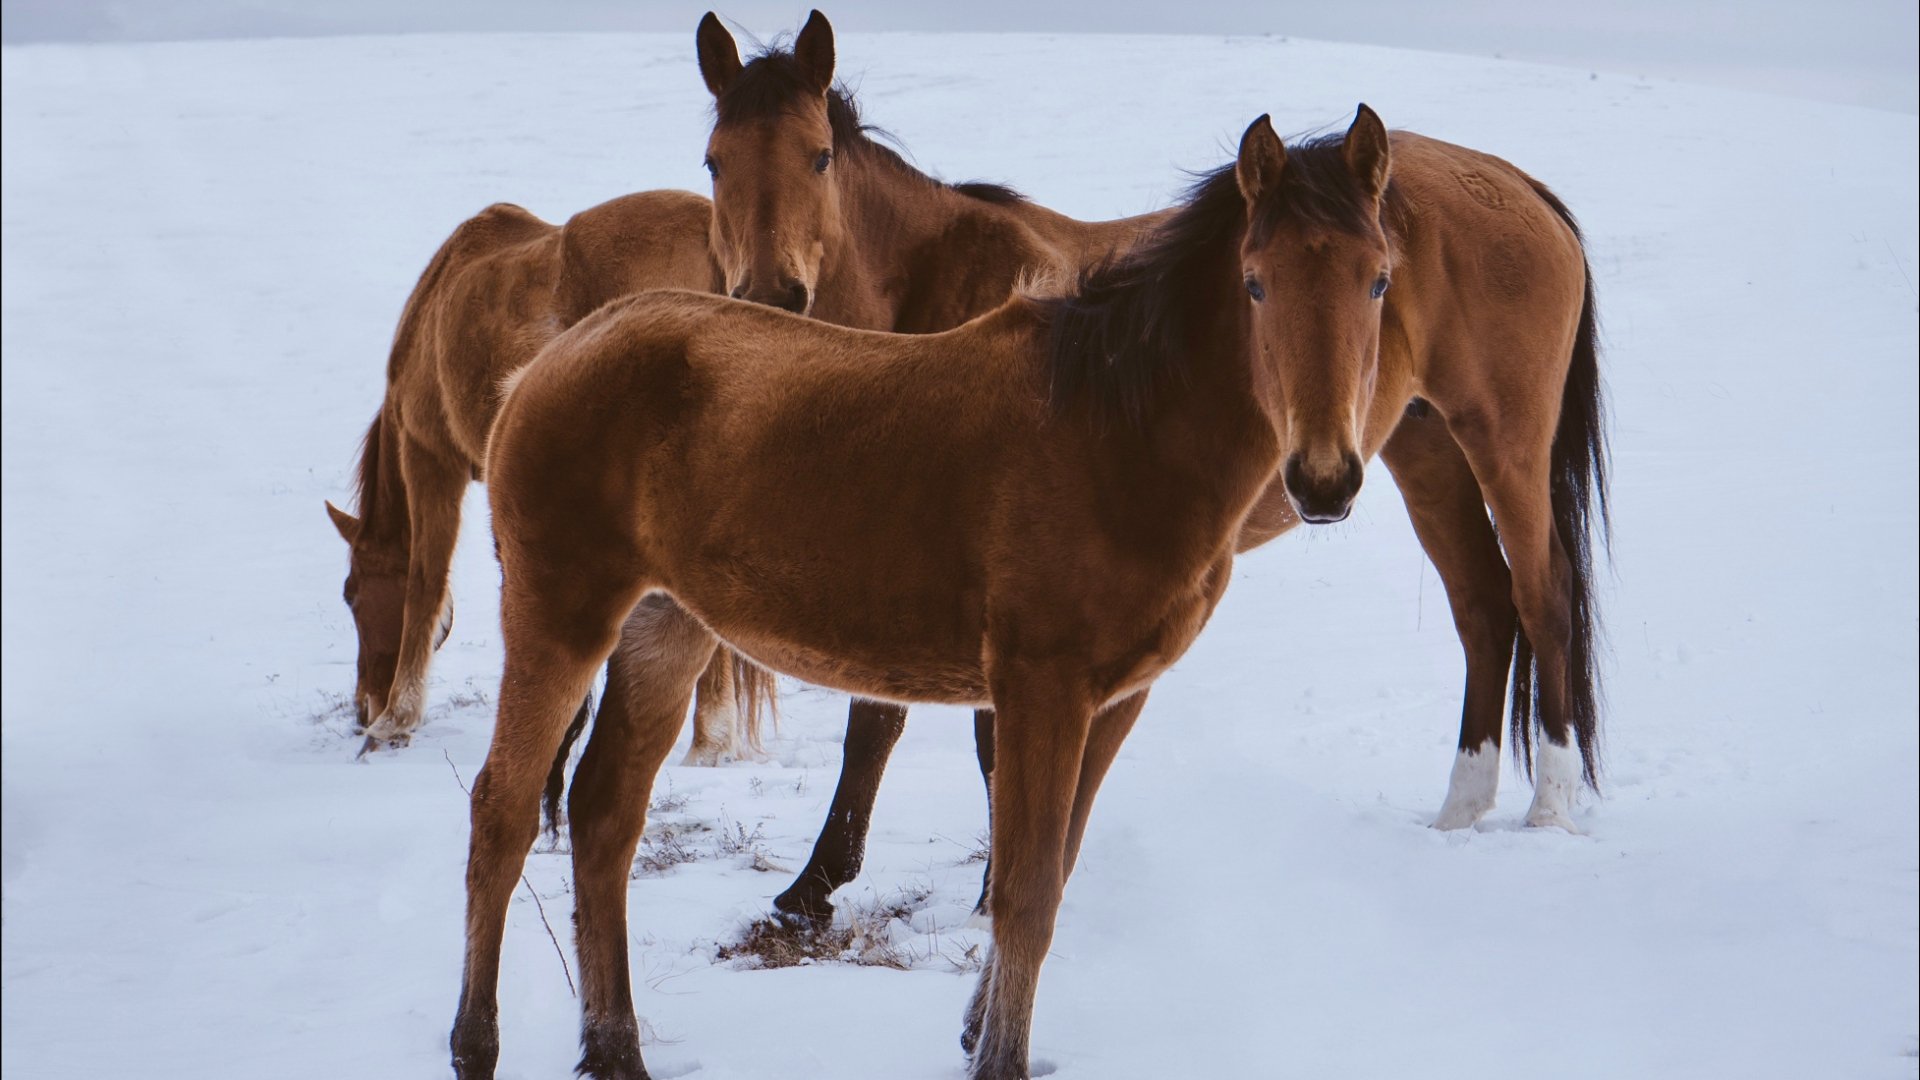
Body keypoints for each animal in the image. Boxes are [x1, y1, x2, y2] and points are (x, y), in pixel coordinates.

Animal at [325, 189, 771, 773]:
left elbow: (424, 583)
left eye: (351, 595)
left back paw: (708, 741)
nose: (363, 708)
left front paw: (398, 717)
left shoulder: (431, 457)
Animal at [447, 107, 1606, 1080]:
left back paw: (617, 1052)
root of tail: (552, 360)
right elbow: (1024, 894)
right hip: (560, 613)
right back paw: (477, 1044)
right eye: (1256, 281)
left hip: (665, 628)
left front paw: (977, 1032)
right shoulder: (1040, 688)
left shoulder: (1112, 696)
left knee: (603, 815)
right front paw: (994, 1054)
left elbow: (1049, 872)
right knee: (504, 810)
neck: (1115, 431)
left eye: (1377, 280)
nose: (1324, 480)